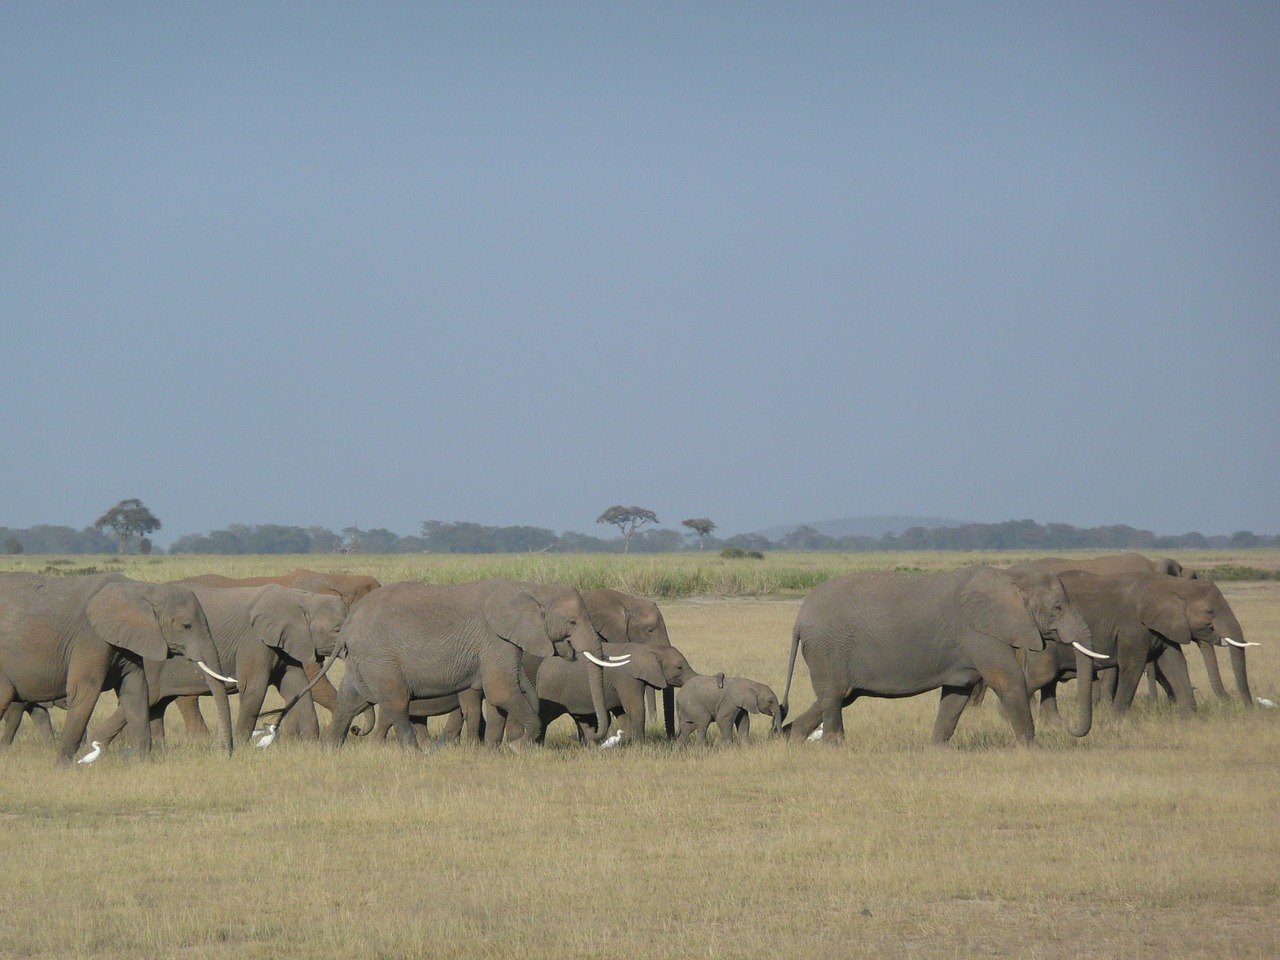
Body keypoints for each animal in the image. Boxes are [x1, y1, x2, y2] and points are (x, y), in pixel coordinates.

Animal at [0, 576, 234, 762]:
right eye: (187, 626)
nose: (225, 755)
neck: (141, 589)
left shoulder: (129, 640)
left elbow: (136, 692)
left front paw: (143, 763)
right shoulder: (91, 639)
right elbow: (84, 693)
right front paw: (62, 767)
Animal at [327, 578, 632, 752]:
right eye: (572, 622)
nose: (591, 734)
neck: (533, 589)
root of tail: (349, 622)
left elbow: (499, 696)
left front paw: (492, 751)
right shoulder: (494, 638)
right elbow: (501, 691)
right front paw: (518, 748)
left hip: (363, 658)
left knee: (349, 701)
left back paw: (331, 749)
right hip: (381, 656)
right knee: (396, 702)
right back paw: (414, 753)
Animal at [778, 568, 1100, 747]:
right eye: (1057, 608)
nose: (1069, 728)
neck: (1011, 577)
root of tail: (798, 619)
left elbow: (958, 693)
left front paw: (936, 750)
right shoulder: (981, 633)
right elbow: (1007, 681)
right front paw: (1033, 749)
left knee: (836, 697)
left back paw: (790, 738)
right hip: (829, 647)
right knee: (834, 697)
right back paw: (834, 745)